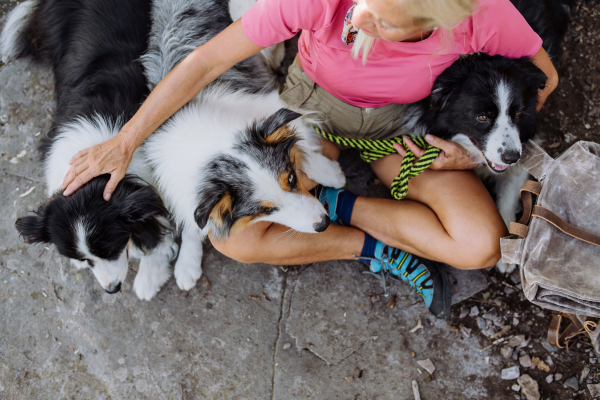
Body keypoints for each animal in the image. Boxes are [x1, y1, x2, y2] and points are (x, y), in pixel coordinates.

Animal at [141, 0, 346, 290]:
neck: (210, 143)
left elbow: (303, 139)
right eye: (265, 210)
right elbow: (194, 222)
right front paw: (187, 262)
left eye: (292, 179)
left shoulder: (270, 104)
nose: (323, 223)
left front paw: (329, 173)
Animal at [406, 0, 568, 274]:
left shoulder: (526, 144)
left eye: (518, 113)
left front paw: (506, 252)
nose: (512, 157)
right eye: (482, 117)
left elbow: (509, 194)